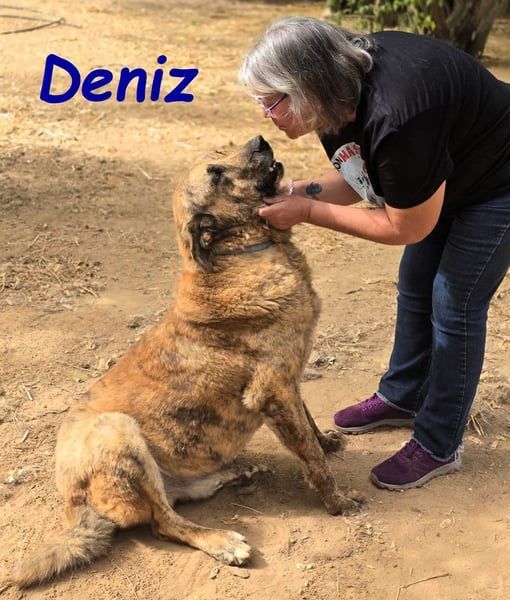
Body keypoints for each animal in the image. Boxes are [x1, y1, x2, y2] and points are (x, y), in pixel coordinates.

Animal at [7, 135, 362, 588]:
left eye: (223, 156)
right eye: (216, 175)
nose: (261, 140)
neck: (239, 253)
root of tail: (73, 507)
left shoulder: (288, 381)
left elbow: (310, 427)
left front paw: (327, 443)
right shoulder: (273, 388)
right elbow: (313, 460)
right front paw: (339, 501)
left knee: (177, 499)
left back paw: (230, 475)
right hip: (117, 433)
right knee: (164, 522)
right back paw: (223, 542)